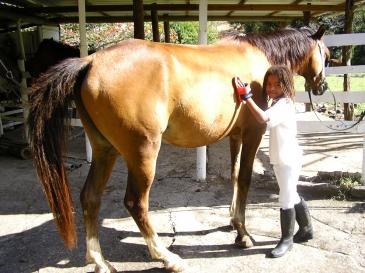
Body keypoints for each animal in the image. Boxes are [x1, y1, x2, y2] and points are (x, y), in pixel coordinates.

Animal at [27, 26, 328, 272]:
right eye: (325, 53)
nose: (322, 86)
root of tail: (90, 61)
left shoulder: (235, 136)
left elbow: (233, 177)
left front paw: (233, 221)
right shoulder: (253, 133)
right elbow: (243, 180)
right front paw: (242, 234)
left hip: (105, 151)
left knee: (90, 197)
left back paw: (100, 262)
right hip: (143, 153)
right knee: (136, 203)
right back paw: (167, 258)